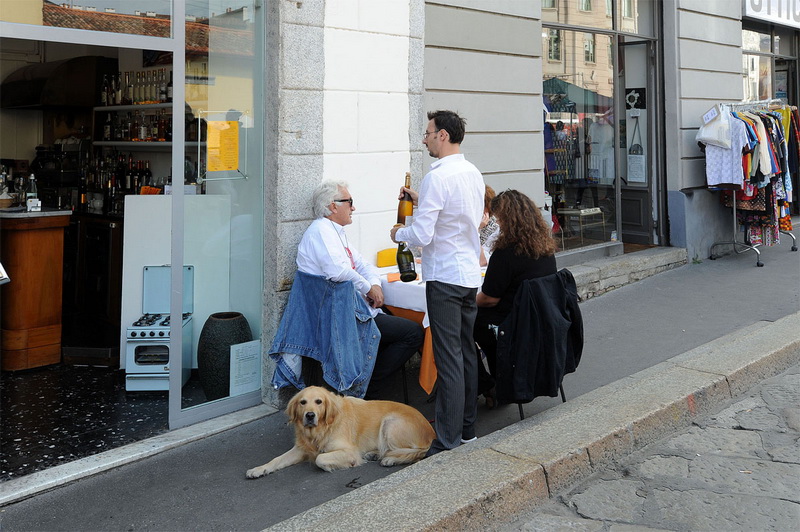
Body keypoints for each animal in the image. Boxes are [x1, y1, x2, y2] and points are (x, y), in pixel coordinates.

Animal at [247, 384, 434, 476]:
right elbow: (276, 460)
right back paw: (375, 454)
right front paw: (259, 469)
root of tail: (432, 430)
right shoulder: (301, 448)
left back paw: (390, 459)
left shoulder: (349, 451)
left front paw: (331, 466)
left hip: (390, 422)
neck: (321, 430)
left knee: (417, 452)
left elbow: (320, 458)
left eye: (319, 401)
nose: (309, 415)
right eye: (302, 402)